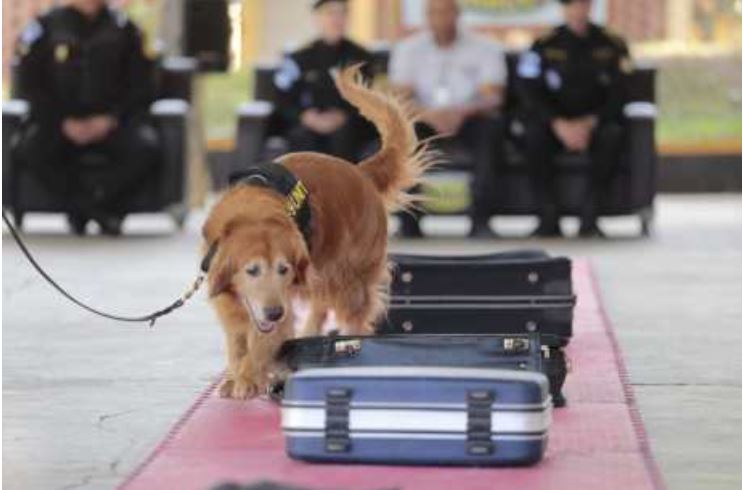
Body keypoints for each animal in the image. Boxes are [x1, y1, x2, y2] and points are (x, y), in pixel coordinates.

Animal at [203, 65, 436, 400]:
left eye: (283, 269)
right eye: (252, 270)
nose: (274, 313)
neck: (253, 210)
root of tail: (360, 171)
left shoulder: (282, 301)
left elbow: (260, 341)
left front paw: (248, 377)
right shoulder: (231, 302)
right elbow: (237, 341)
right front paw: (238, 374)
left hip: (349, 278)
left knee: (355, 319)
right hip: (321, 275)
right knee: (319, 309)